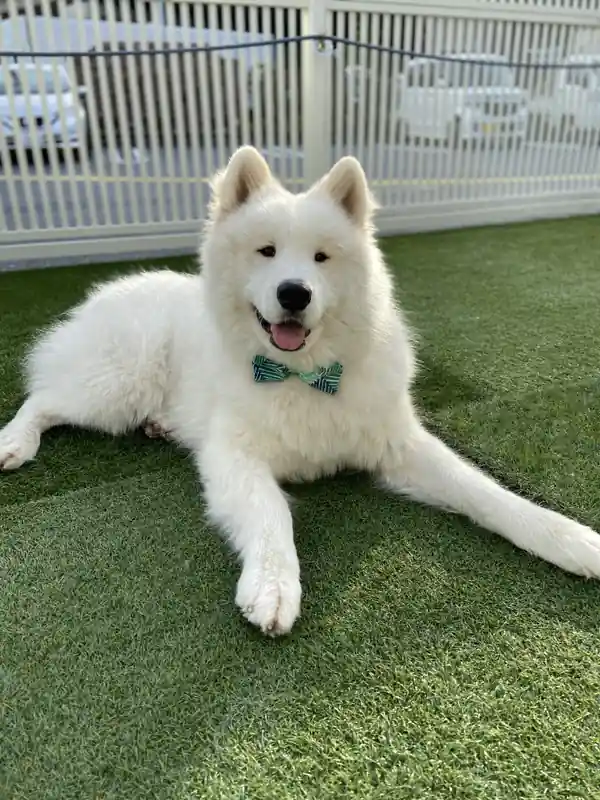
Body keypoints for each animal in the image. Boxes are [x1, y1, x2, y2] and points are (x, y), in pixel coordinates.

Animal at [1, 145, 599, 635]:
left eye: (321, 257)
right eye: (266, 252)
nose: (294, 293)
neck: (303, 374)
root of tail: (112, 289)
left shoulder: (399, 446)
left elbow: (486, 492)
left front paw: (571, 540)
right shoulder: (235, 457)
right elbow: (272, 514)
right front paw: (272, 586)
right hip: (118, 383)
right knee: (44, 398)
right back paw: (14, 443)